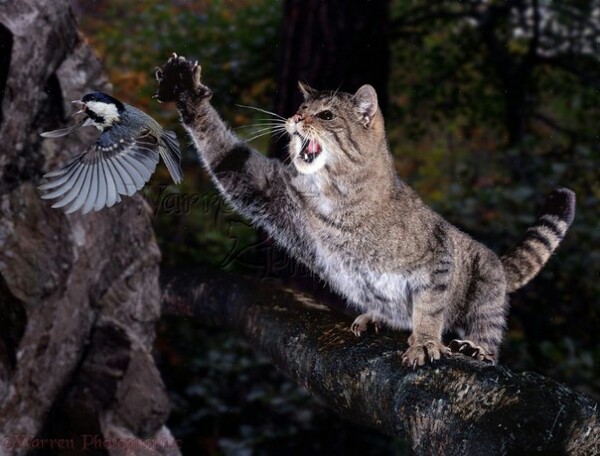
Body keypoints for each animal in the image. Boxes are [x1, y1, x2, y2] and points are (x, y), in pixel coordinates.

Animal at [156, 54, 576, 366]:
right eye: (301, 106)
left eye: (325, 114)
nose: (294, 119)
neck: (338, 195)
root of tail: (497, 261)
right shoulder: (267, 190)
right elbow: (227, 155)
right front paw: (188, 94)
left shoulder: (437, 258)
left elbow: (429, 307)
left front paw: (424, 341)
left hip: (484, 295)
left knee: (487, 334)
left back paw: (476, 348)